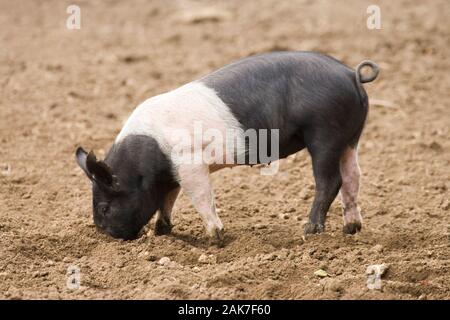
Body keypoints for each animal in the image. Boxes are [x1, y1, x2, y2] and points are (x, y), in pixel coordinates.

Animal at [75, 51, 378, 244]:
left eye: (104, 207)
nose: (107, 236)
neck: (146, 160)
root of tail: (351, 75)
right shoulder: (172, 173)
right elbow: (167, 199)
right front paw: (162, 232)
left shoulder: (189, 162)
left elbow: (201, 196)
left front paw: (216, 239)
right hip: (350, 138)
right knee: (354, 176)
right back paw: (351, 229)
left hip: (324, 133)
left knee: (330, 181)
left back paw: (309, 231)